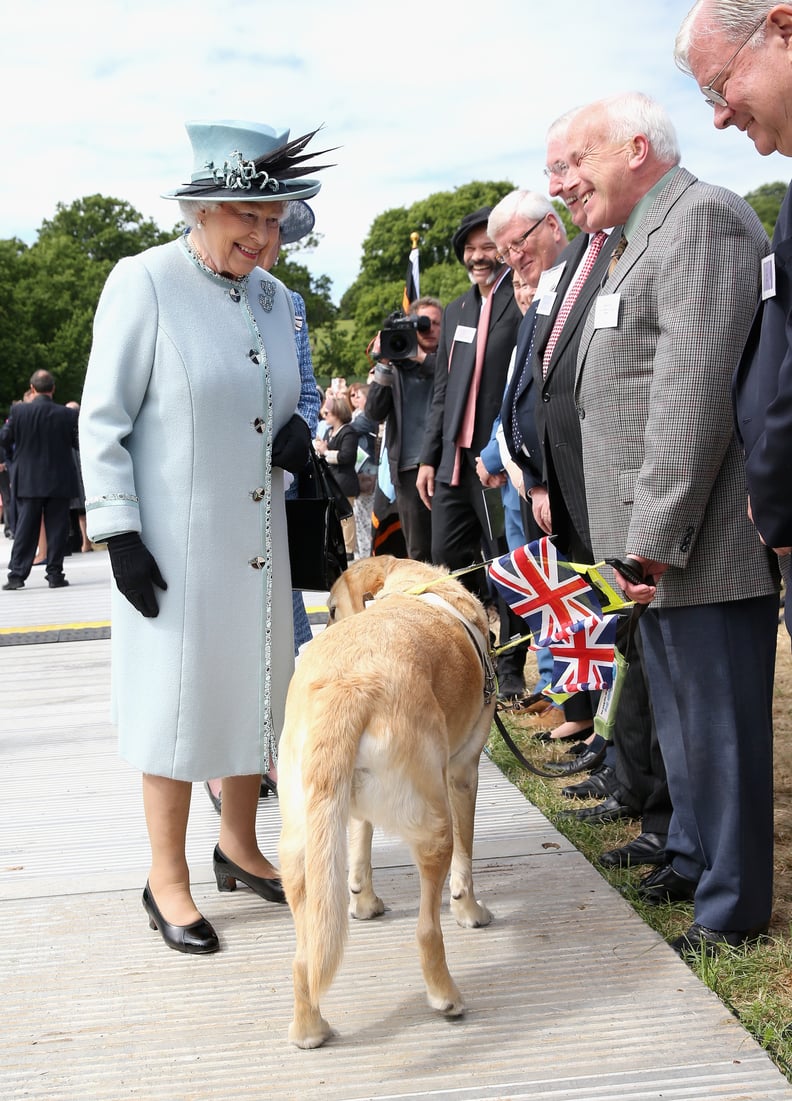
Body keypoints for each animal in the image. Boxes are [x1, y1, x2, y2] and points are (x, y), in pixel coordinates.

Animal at [280, 559, 495, 1048]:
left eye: (332, 610)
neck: (417, 586)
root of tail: (347, 686)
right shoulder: (463, 773)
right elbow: (468, 860)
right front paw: (469, 911)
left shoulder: (355, 809)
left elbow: (360, 851)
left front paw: (364, 902)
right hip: (434, 827)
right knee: (426, 930)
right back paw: (446, 996)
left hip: (301, 842)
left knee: (305, 958)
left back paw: (309, 1029)